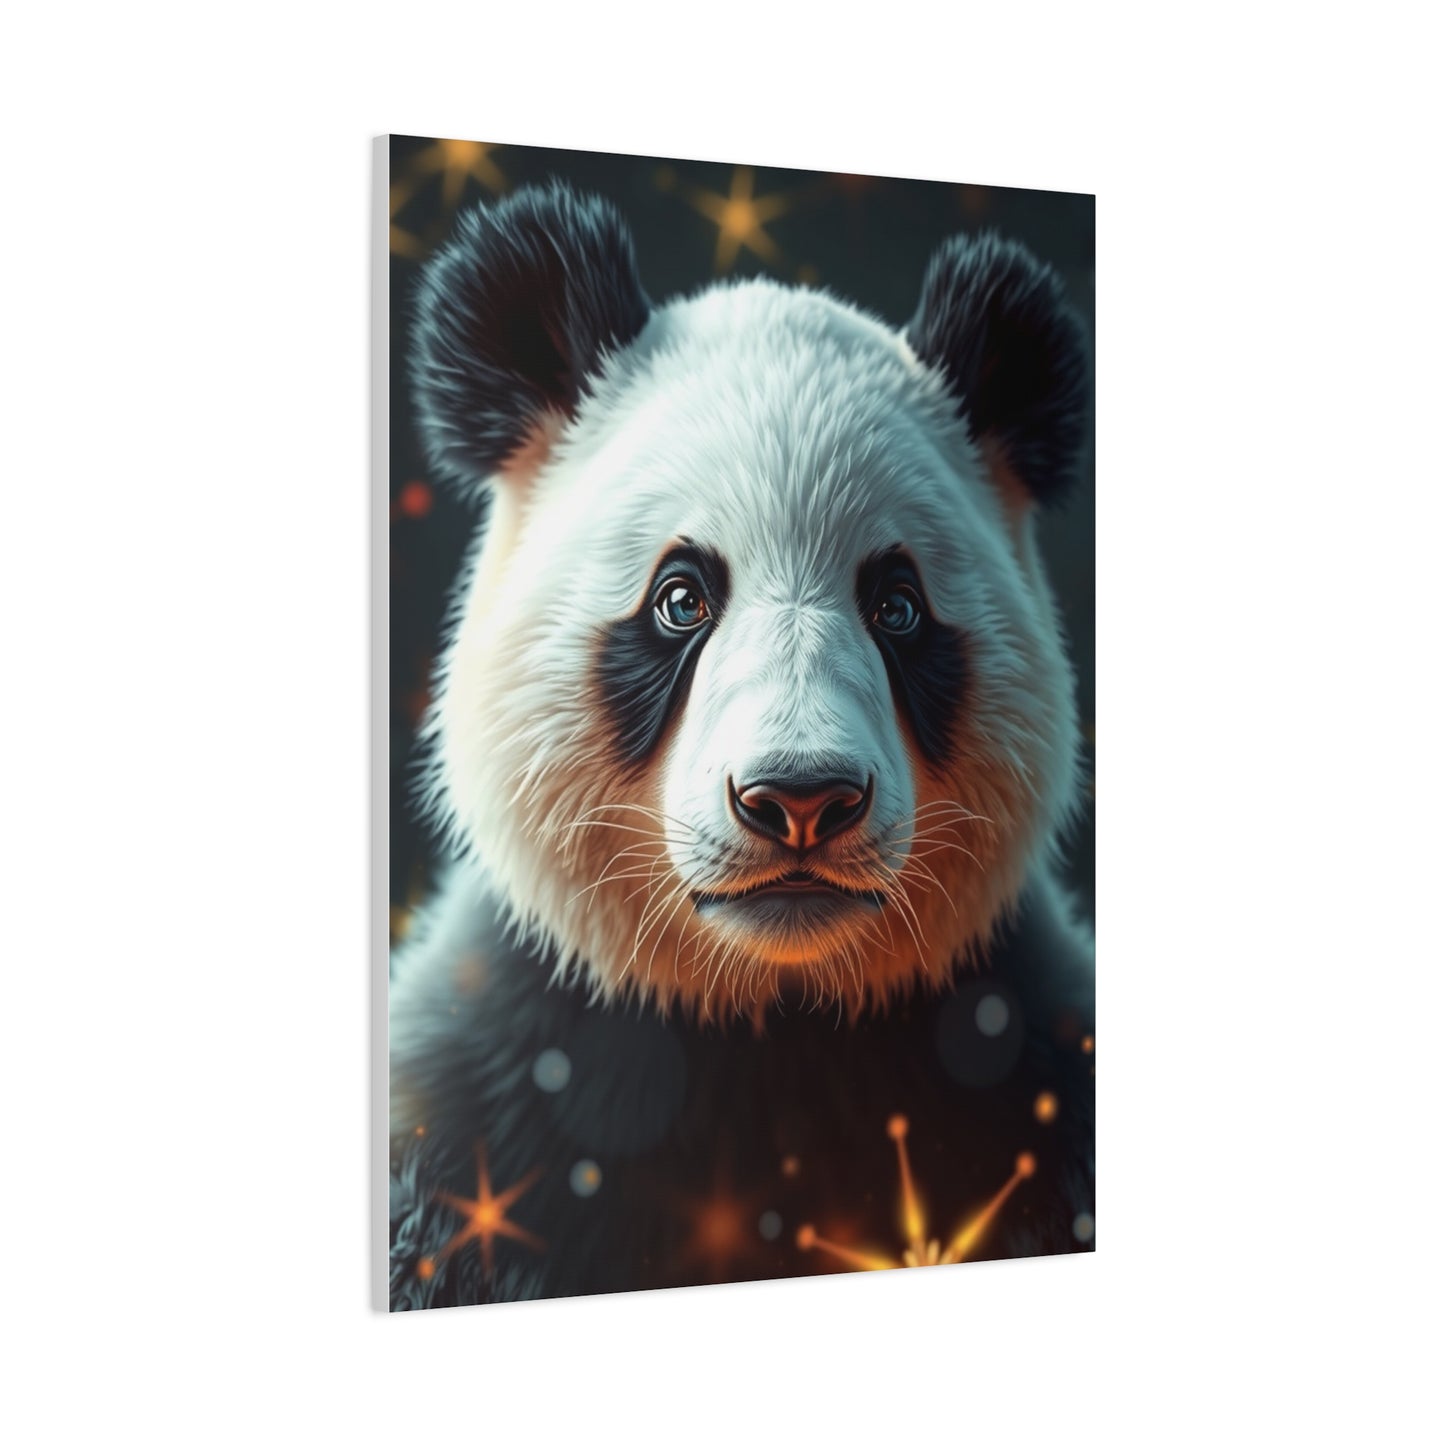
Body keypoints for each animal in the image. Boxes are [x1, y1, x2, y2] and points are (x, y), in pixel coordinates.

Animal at [389, 183, 1093, 1308]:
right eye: (681, 598)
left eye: (896, 606)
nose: (800, 799)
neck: (768, 1022)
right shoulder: (482, 1107)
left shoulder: (1033, 1067)